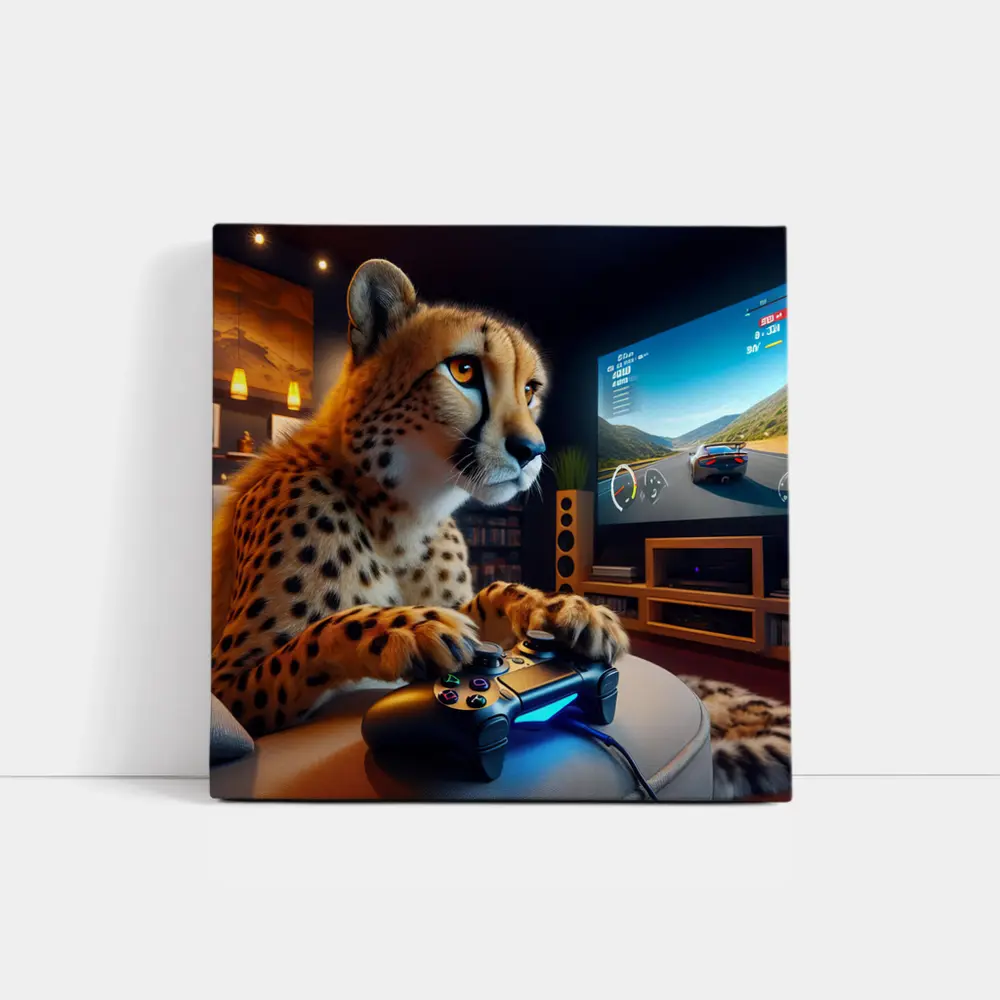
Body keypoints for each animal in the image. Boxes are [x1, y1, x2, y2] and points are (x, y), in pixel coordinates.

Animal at [211, 258, 629, 739]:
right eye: (464, 370)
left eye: (530, 390)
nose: (533, 450)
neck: (402, 516)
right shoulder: (225, 686)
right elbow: (322, 632)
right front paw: (413, 625)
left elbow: (493, 592)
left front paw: (563, 608)